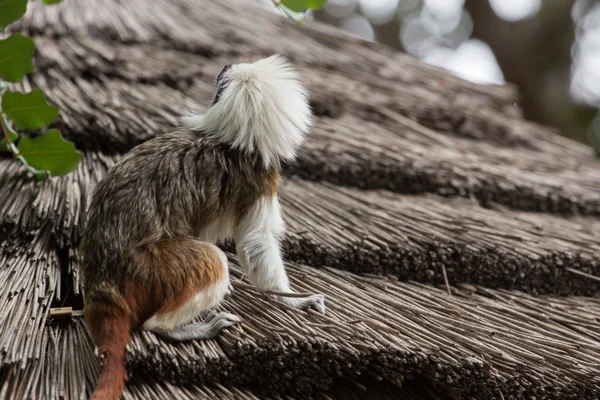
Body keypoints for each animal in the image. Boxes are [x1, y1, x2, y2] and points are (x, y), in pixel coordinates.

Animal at [80, 54, 326, 400]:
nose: (224, 66)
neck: (226, 137)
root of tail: (100, 277)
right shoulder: (260, 178)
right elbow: (256, 243)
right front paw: (293, 300)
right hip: (147, 269)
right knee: (212, 262)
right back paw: (170, 327)